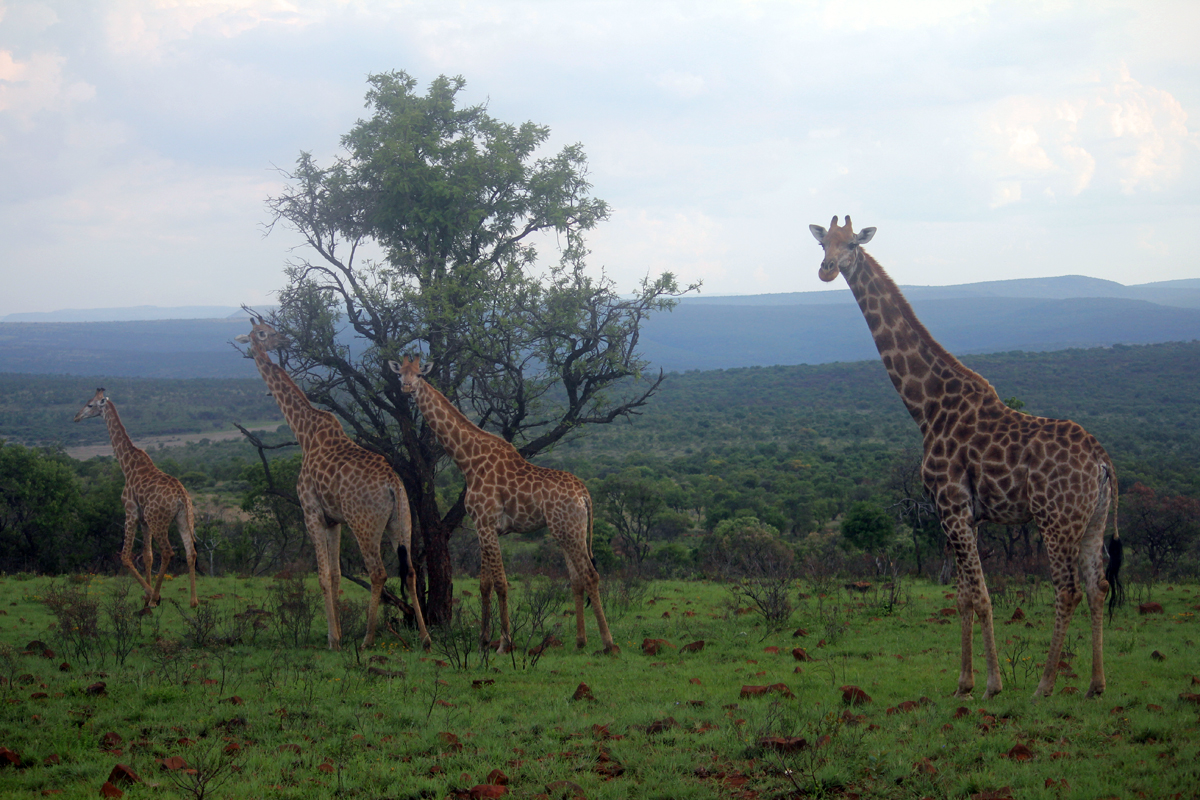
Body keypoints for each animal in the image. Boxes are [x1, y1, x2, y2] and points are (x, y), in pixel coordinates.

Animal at [73, 388, 196, 606]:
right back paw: (193, 601)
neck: (126, 465)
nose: (76, 417)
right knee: (191, 552)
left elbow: (125, 557)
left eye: (90, 404)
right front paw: (147, 596)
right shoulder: (143, 519)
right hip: (183, 518)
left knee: (168, 552)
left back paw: (157, 597)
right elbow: (147, 556)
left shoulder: (130, 512)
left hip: (159, 521)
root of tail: (182, 496)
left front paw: (151, 595)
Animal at [232, 319, 427, 652]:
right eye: (265, 331)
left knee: (378, 573)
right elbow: (336, 575)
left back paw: (368, 639)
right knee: (411, 570)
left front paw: (333, 639)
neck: (303, 432)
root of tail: (393, 483)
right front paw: (337, 634)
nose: (283, 339)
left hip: (364, 524)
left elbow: (322, 575)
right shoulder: (334, 520)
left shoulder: (311, 512)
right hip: (401, 522)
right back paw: (425, 637)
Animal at [388, 357, 619, 657]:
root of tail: (584, 493)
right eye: (400, 374)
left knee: (591, 575)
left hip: (569, 530)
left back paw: (608, 643)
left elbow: (501, 583)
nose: (406, 388)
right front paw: (482, 641)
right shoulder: (483, 527)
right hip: (567, 531)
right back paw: (581, 641)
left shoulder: (486, 523)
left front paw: (504, 643)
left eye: (418, 374)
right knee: (578, 579)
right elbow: (484, 584)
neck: (468, 461)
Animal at [811, 219, 1118, 700]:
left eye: (851, 246)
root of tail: (1103, 462)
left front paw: (991, 684)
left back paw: (1044, 685)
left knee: (1067, 589)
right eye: (823, 243)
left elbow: (981, 595)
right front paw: (963, 682)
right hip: (1092, 520)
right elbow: (962, 597)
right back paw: (1095, 685)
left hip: (1055, 520)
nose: (825, 270)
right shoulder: (961, 515)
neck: (927, 407)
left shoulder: (951, 506)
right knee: (1097, 586)